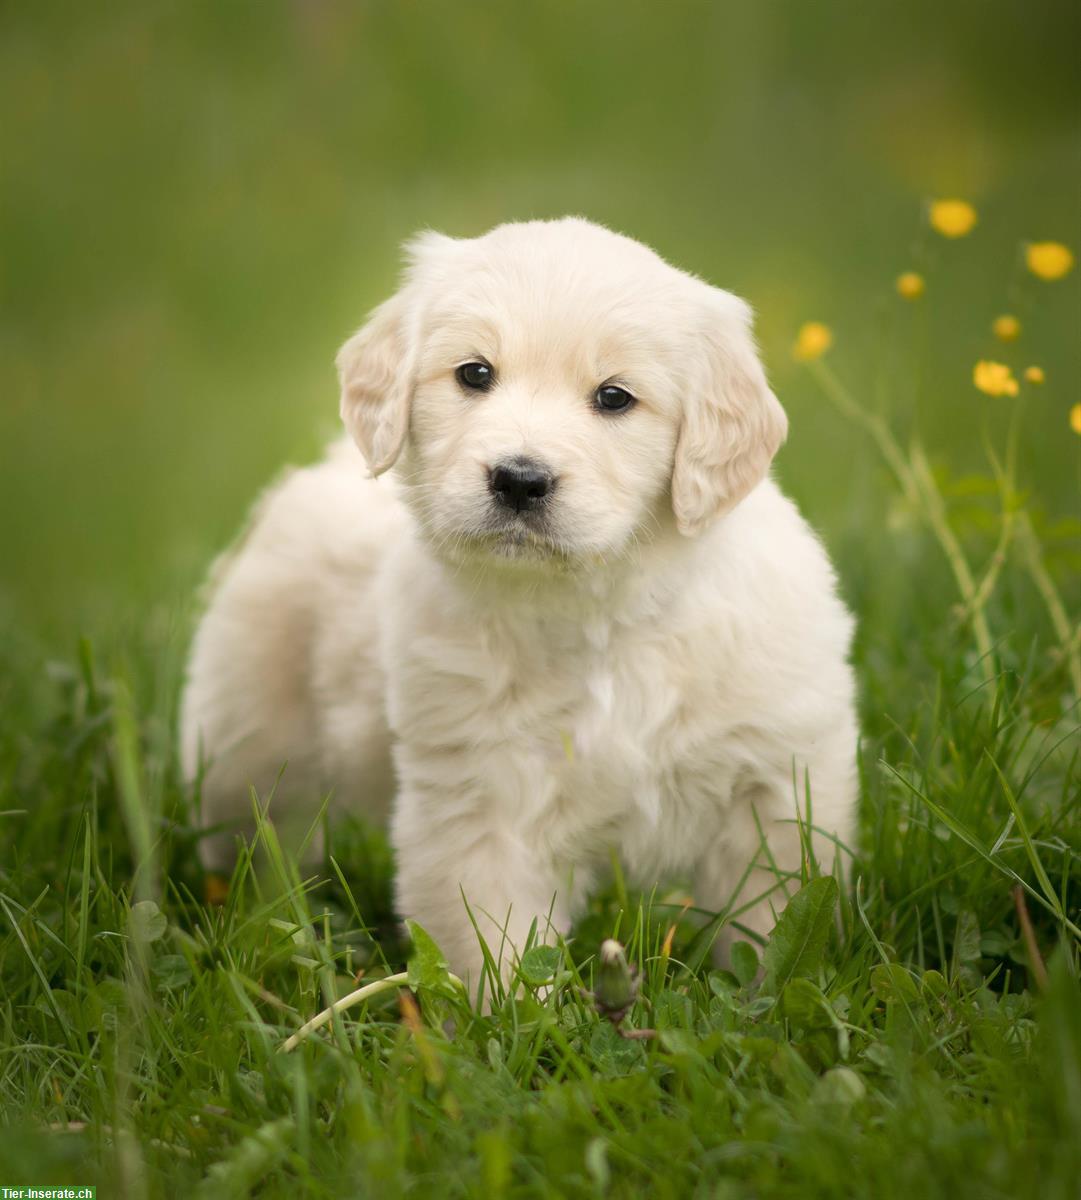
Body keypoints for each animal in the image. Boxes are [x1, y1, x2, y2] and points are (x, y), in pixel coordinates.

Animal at [181, 220, 854, 988]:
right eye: (474, 374)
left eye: (614, 397)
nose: (519, 480)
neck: (602, 612)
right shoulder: (482, 802)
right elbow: (494, 950)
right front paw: (511, 1016)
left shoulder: (779, 781)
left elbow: (772, 922)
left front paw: (768, 993)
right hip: (247, 747)